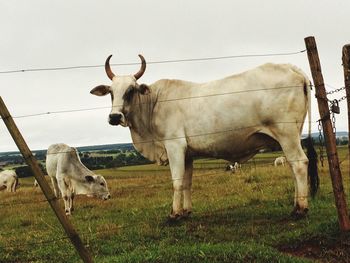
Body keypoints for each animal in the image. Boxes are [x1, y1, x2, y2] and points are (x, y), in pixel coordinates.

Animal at [90, 54, 318, 221]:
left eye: (130, 90)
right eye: (111, 92)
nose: (114, 116)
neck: (153, 104)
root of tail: (292, 68)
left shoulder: (174, 146)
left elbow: (176, 181)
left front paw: (174, 214)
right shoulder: (188, 154)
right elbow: (187, 182)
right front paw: (186, 212)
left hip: (287, 134)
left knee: (299, 163)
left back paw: (300, 209)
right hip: (289, 137)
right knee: (293, 166)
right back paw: (297, 203)